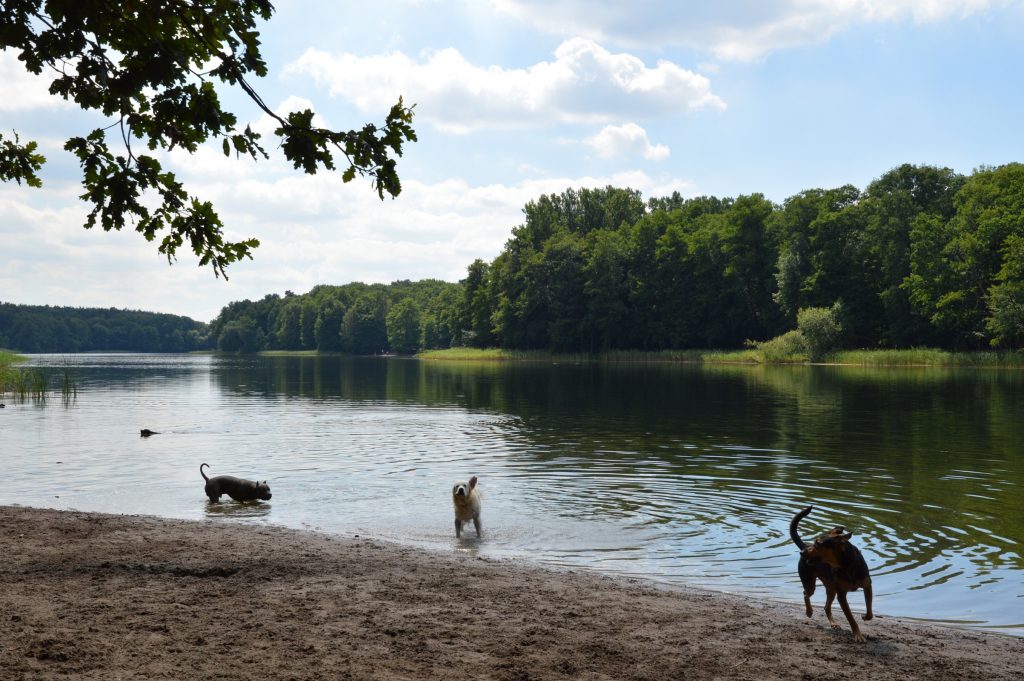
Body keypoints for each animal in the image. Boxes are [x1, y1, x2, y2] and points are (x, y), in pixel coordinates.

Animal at [790, 503, 872, 643]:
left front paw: (865, 617)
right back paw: (809, 611)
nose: (802, 553)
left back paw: (833, 623)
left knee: (826, 607)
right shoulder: (842, 595)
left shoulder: (867, 585)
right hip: (810, 583)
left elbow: (870, 609)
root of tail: (804, 545)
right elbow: (850, 617)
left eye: (817, 544)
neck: (845, 565)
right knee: (806, 594)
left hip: (831, 587)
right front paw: (858, 634)